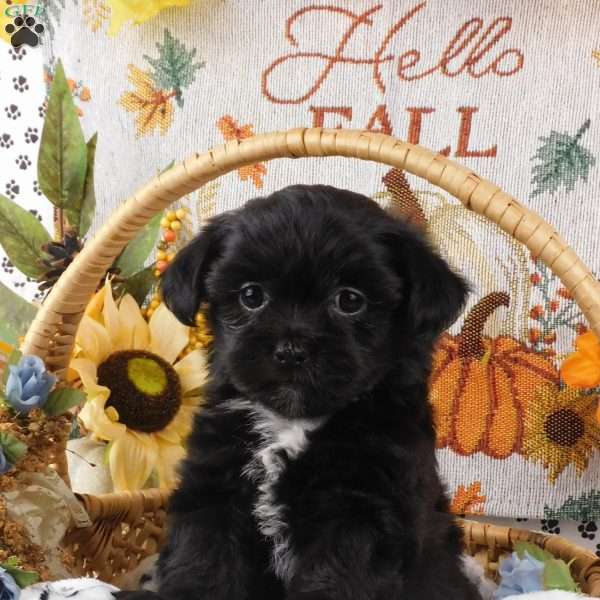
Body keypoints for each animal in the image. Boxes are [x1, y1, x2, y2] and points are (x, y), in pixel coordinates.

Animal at [119, 186, 480, 600]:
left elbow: (334, 575)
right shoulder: (214, 488)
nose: (291, 350)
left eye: (350, 300)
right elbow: (202, 558)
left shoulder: (358, 511)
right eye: (251, 295)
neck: (292, 421)